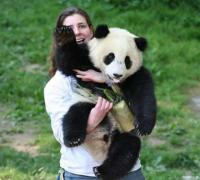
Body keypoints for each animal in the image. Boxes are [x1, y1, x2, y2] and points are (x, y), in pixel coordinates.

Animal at [54, 24, 156, 179]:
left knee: (126, 149)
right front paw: (66, 35)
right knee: (74, 115)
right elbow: (70, 61)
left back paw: (102, 170)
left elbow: (143, 94)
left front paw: (144, 127)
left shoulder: (135, 75)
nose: (117, 75)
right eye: (110, 57)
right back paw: (74, 139)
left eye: (127, 61)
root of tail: (101, 147)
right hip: (88, 105)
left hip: (123, 131)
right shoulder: (86, 61)